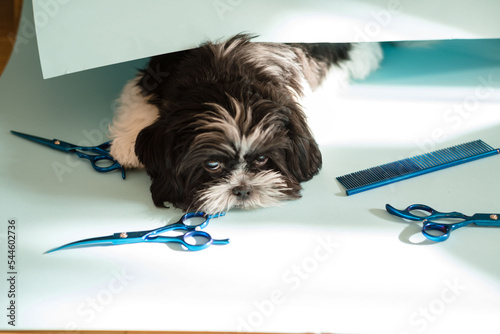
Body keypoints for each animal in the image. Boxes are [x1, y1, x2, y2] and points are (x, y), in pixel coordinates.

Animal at [110, 33, 382, 211]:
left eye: (262, 159)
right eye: (212, 164)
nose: (242, 189)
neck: (224, 78)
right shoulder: (156, 74)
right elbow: (136, 98)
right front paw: (126, 143)